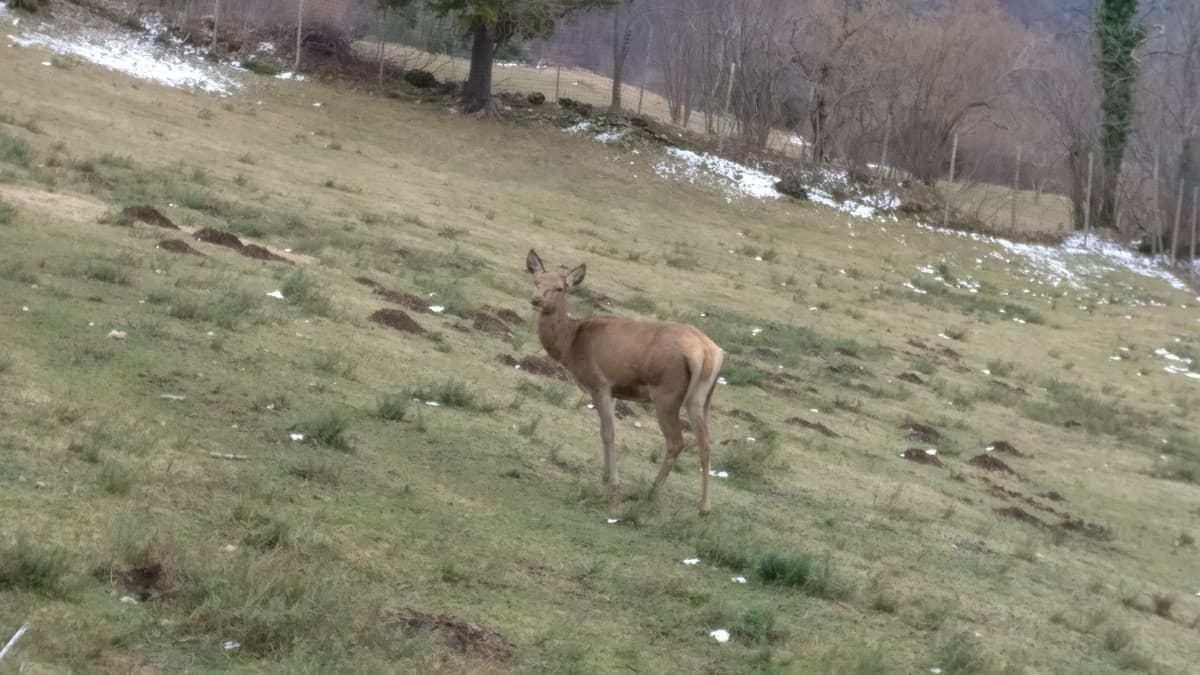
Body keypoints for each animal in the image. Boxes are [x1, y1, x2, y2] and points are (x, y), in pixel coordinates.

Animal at [523, 249, 720, 511]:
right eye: (537, 280)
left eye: (560, 288)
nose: (536, 300)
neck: (571, 344)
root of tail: (708, 352)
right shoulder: (615, 390)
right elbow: (607, 430)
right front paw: (605, 476)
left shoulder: (600, 383)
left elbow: (608, 432)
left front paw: (613, 482)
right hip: (701, 398)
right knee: (705, 442)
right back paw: (704, 507)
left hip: (666, 394)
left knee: (677, 442)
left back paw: (651, 492)